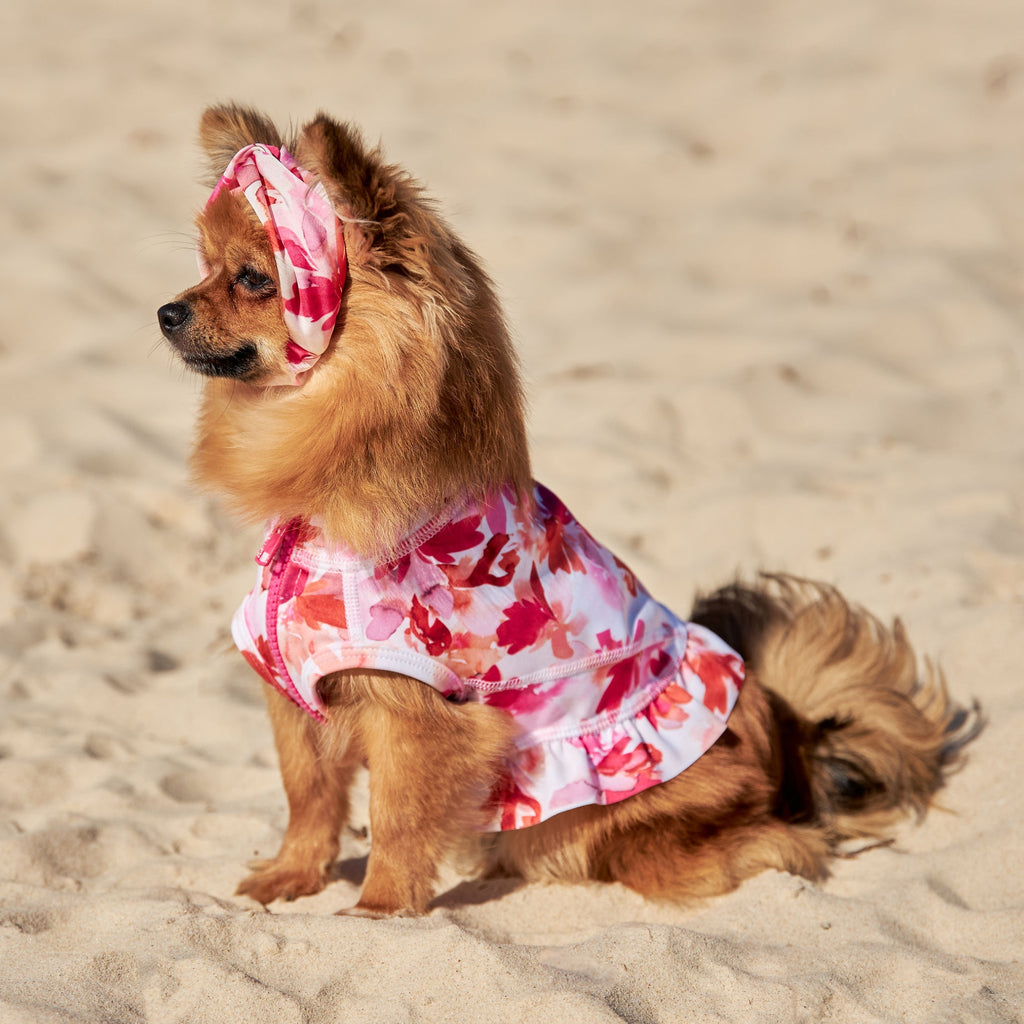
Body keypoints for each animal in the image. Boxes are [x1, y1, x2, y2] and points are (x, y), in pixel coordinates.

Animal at [155, 105, 978, 921]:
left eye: (254, 279)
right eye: (205, 266)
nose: (165, 310)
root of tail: (791, 740)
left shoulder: (414, 715)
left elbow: (395, 819)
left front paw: (379, 911)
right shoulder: (293, 695)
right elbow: (309, 798)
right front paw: (290, 877)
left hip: (634, 831)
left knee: (774, 844)